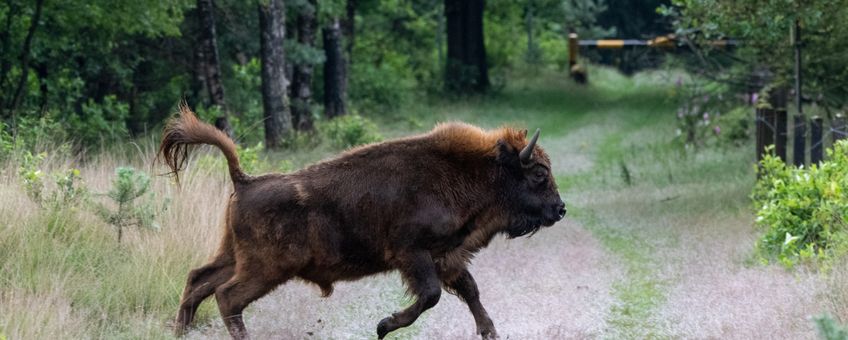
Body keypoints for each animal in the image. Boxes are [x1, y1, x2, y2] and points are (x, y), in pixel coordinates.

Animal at [161, 105, 564, 338]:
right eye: (539, 173)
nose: (560, 210)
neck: (472, 171)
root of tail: (245, 181)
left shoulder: (448, 257)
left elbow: (470, 290)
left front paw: (489, 332)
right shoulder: (413, 254)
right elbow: (431, 295)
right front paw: (384, 326)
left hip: (234, 256)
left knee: (198, 281)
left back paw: (180, 332)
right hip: (266, 268)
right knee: (228, 296)